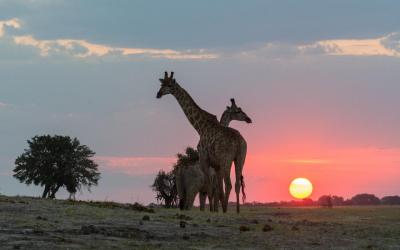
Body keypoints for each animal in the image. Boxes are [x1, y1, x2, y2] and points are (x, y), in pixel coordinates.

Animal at [157, 72, 248, 213]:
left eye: (169, 85)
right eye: (162, 84)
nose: (158, 94)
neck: (201, 127)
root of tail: (239, 141)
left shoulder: (205, 159)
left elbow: (213, 189)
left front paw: (213, 210)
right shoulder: (216, 166)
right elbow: (218, 191)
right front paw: (217, 209)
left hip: (225, 160)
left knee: (227, 185)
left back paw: (226, 210)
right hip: (240, 158)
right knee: (236, 184)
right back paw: (236, 210)